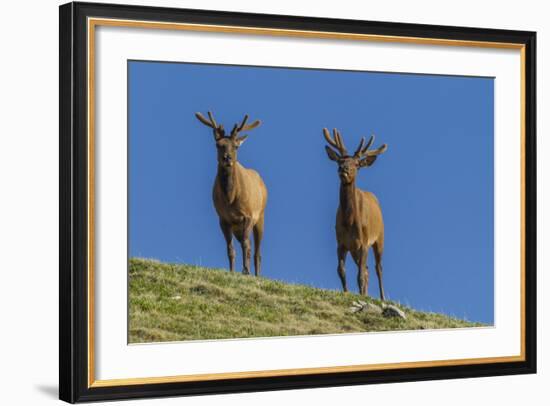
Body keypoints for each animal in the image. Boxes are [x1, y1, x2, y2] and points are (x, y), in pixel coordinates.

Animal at [197, 111, 268, 276]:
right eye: (218, 145)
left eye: (235, 146)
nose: (227, 158)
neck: (230, 198)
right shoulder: (224, 219)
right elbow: (230, 249)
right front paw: (232, 271)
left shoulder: (248, 215)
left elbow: (246, 246)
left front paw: (245, 270)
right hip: (238, 228)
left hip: (260, 216)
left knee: (257, 252)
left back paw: (256, 274)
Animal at [326, 128, 390, 300]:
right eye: (339, 161)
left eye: (356, 164)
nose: (343, 169)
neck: (349, 222)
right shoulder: (341, 243)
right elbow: (341, 271)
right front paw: (347, 293)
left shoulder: (364, 242)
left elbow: (360, 275)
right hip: (355, 249)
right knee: (367, 269)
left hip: (379, 237)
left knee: (378, 268)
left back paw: (382, 297)